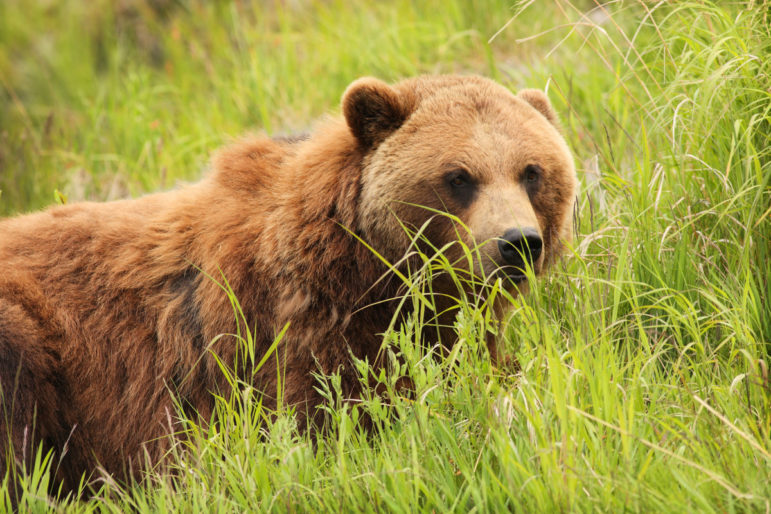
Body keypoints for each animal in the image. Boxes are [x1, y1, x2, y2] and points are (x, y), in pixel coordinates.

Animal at [0, 74, 576, 490]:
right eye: (458, 176)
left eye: (531, 171)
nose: (518, 242)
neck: (369, 270)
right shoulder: (288, 328)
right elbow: (326, 418)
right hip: (30, 339)